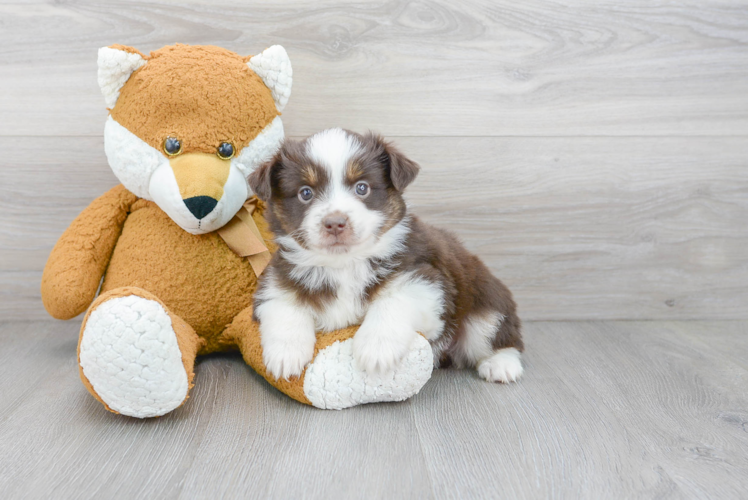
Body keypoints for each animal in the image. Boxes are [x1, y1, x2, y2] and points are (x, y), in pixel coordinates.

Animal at [248, 129, 524, 382]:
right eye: (305, 193)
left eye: (362, 188)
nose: (335, 223)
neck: (344, 263)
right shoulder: (275, 281)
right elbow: (285, 307)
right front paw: (285, 354)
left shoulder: (427, 281)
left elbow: (392, 302)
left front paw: (377, 348)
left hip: (487, 305)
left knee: (500, 336)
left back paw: (501, 365)